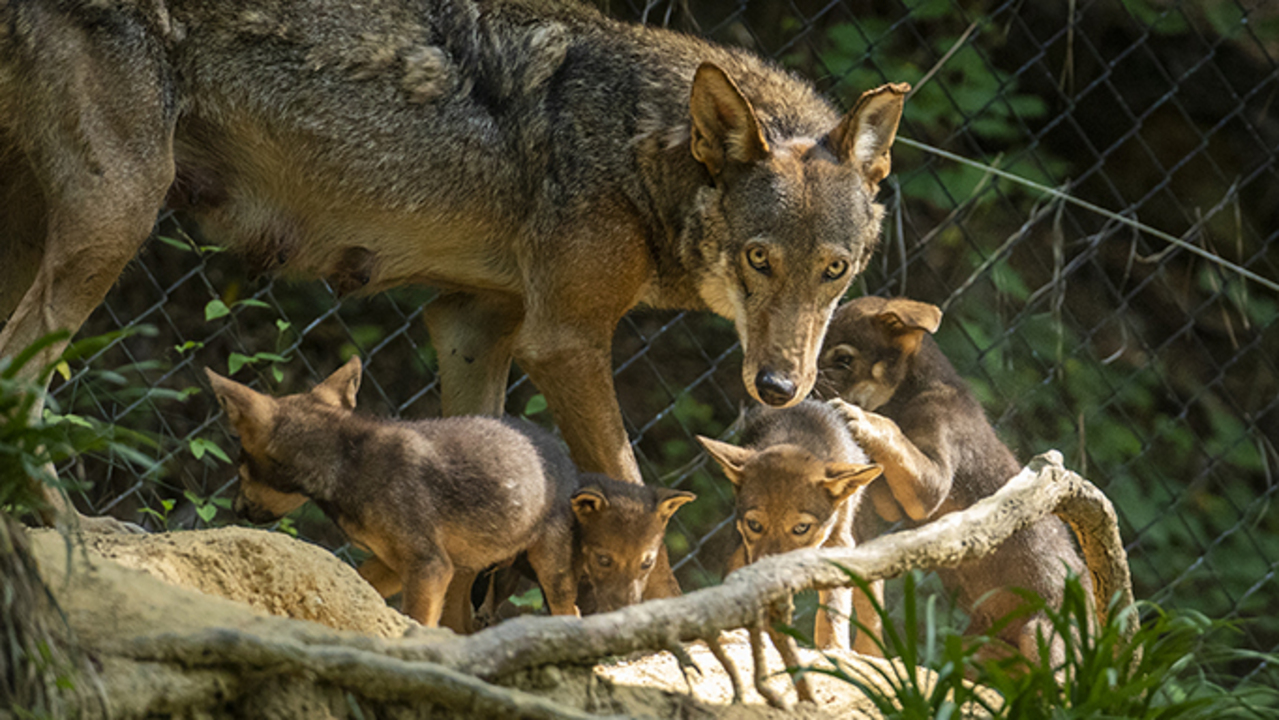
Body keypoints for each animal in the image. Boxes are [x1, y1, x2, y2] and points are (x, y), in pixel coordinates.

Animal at [0, 0, 907, 533]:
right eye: (757, 258)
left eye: (833, 272)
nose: (778, 389)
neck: (636, 144)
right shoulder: (563, 341)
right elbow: (628, 489)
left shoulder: (474, 325)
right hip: (114, 224)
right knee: (21, 380)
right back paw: (73, 532)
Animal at [698, 400, 882, 652]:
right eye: (754, 524)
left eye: (801, 528)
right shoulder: (744, 548)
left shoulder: (838, 542)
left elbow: (833, 609)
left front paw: (832, 646)